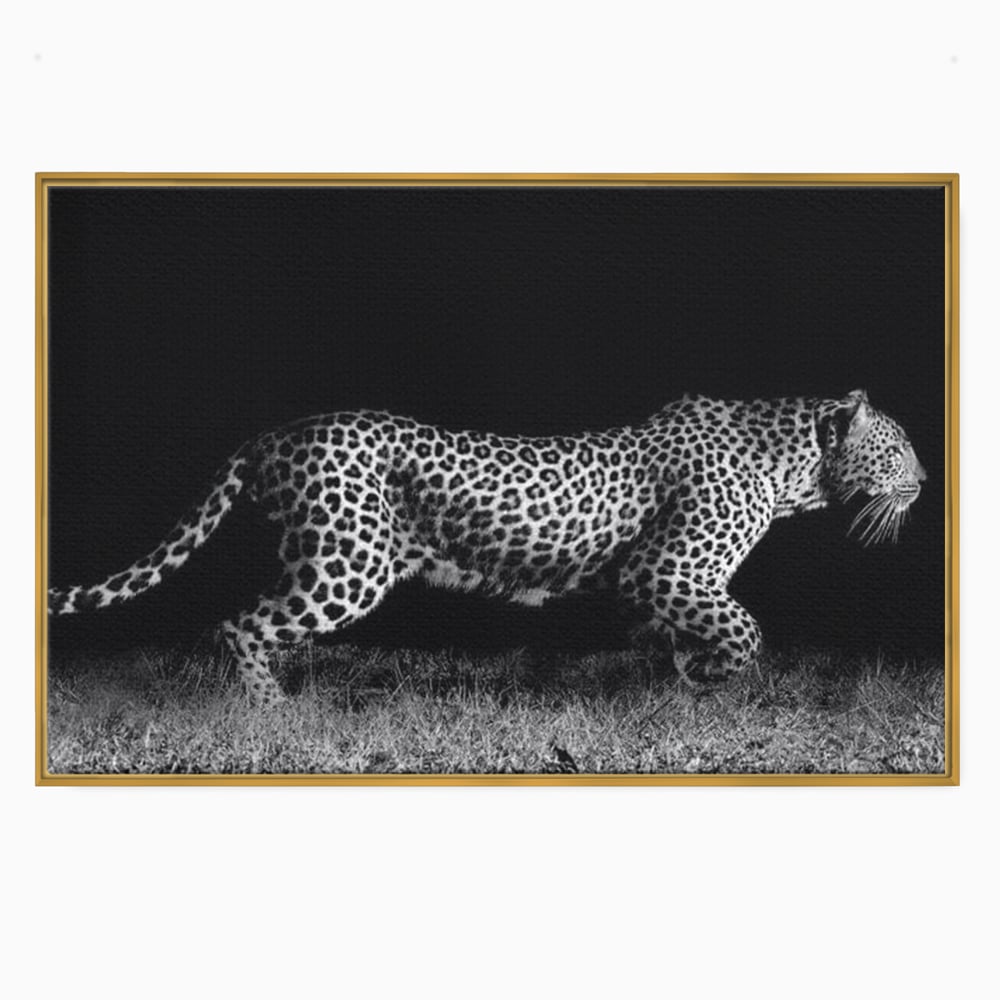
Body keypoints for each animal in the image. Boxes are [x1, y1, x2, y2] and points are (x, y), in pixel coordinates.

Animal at [48, 389, 925, 705]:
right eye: (899, 448)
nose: (923, 481)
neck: (794, 469)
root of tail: (276, 432)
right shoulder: (668, 569)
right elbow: (746, 629)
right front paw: (711, 677)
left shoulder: (654, 586)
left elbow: (676, 640)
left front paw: (675, 688)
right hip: (347, 564)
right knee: (241, 625)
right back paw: (273, 714)